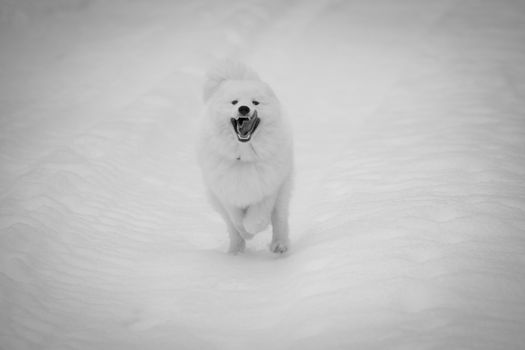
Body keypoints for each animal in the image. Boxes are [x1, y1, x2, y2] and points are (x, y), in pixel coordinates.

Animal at [198, 60, 294, 254]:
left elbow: (257, 218)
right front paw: (245, 234)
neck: (244, 156)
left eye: (255, 102)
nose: (243, 108)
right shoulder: (226, 192)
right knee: (231, 227)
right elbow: (236, 220)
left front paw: (253, 228)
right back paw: (235, 251)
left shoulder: (268, 188)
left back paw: (279, 245)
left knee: (280, 220)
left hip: (283, 190)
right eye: (234, 102)